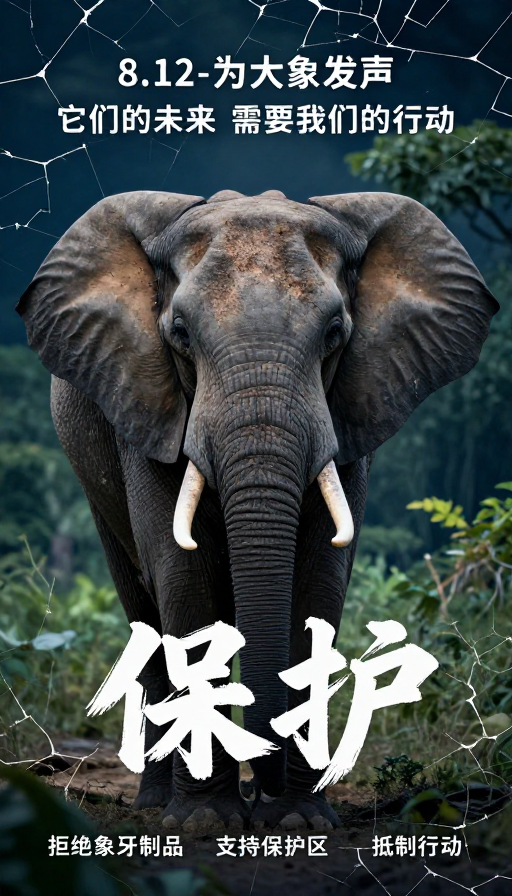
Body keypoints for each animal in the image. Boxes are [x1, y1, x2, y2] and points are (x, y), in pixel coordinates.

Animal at [17, 187, 497, 832]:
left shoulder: (350, 408)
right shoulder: (148, 402)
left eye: (334, 333)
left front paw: (298, 821)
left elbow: (317, 582)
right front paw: (204, 823)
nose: (260, 792)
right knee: (141, 609)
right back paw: (155, 805)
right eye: (180, 334)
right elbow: (182, 576)